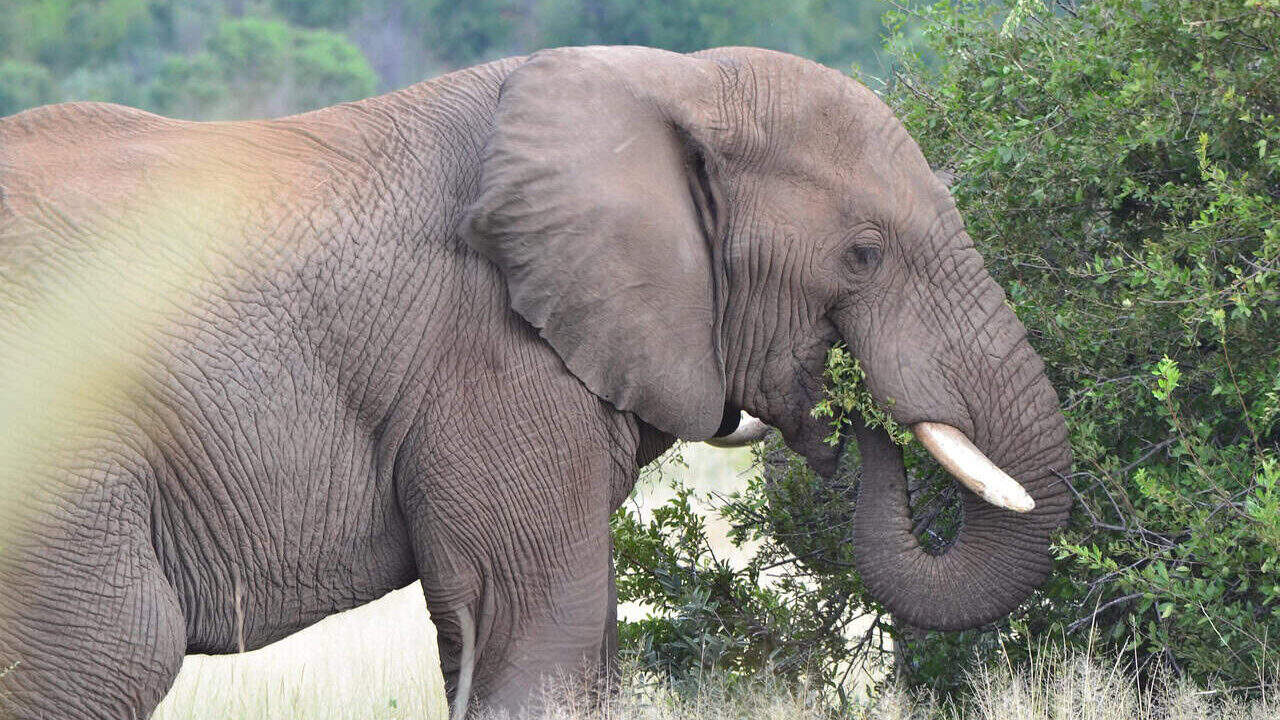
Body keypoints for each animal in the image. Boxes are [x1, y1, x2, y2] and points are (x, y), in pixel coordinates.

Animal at [0, 45, 1071, 719]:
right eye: (864, 254)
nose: (850, 412)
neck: (673, 81)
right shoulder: (496, 357)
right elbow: (537, 625)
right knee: (110, 657)